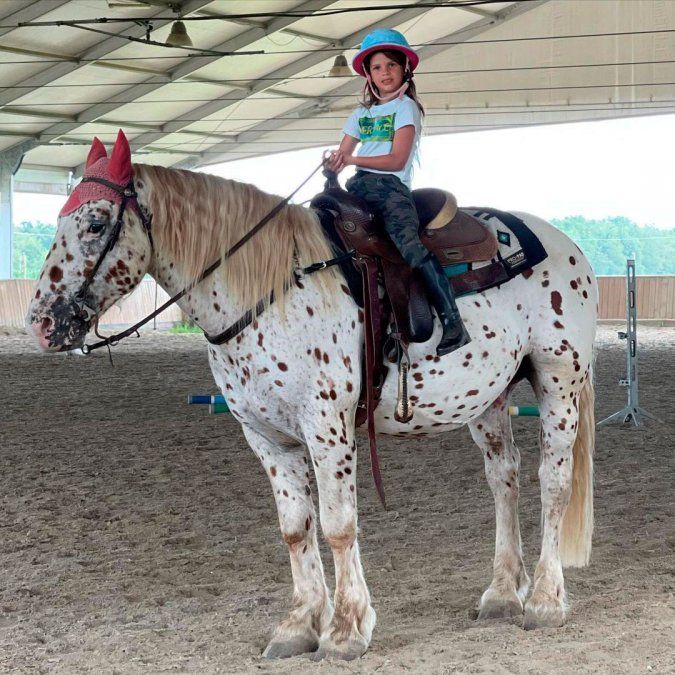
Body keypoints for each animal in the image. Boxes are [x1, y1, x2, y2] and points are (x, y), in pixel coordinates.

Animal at [27, 131, 597, 661]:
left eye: (95, 223)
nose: (41, 323)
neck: (274, 287)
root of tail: (568, 246)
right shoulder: (265, 436)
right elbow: (295, 528)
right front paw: (299, 626)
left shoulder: (327, 428)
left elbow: (338, 525)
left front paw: (345, 629)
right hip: (490, 398)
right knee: (505, 478)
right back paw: (502, 594)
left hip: (559, 382)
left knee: (554, 483)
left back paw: (546, 599)